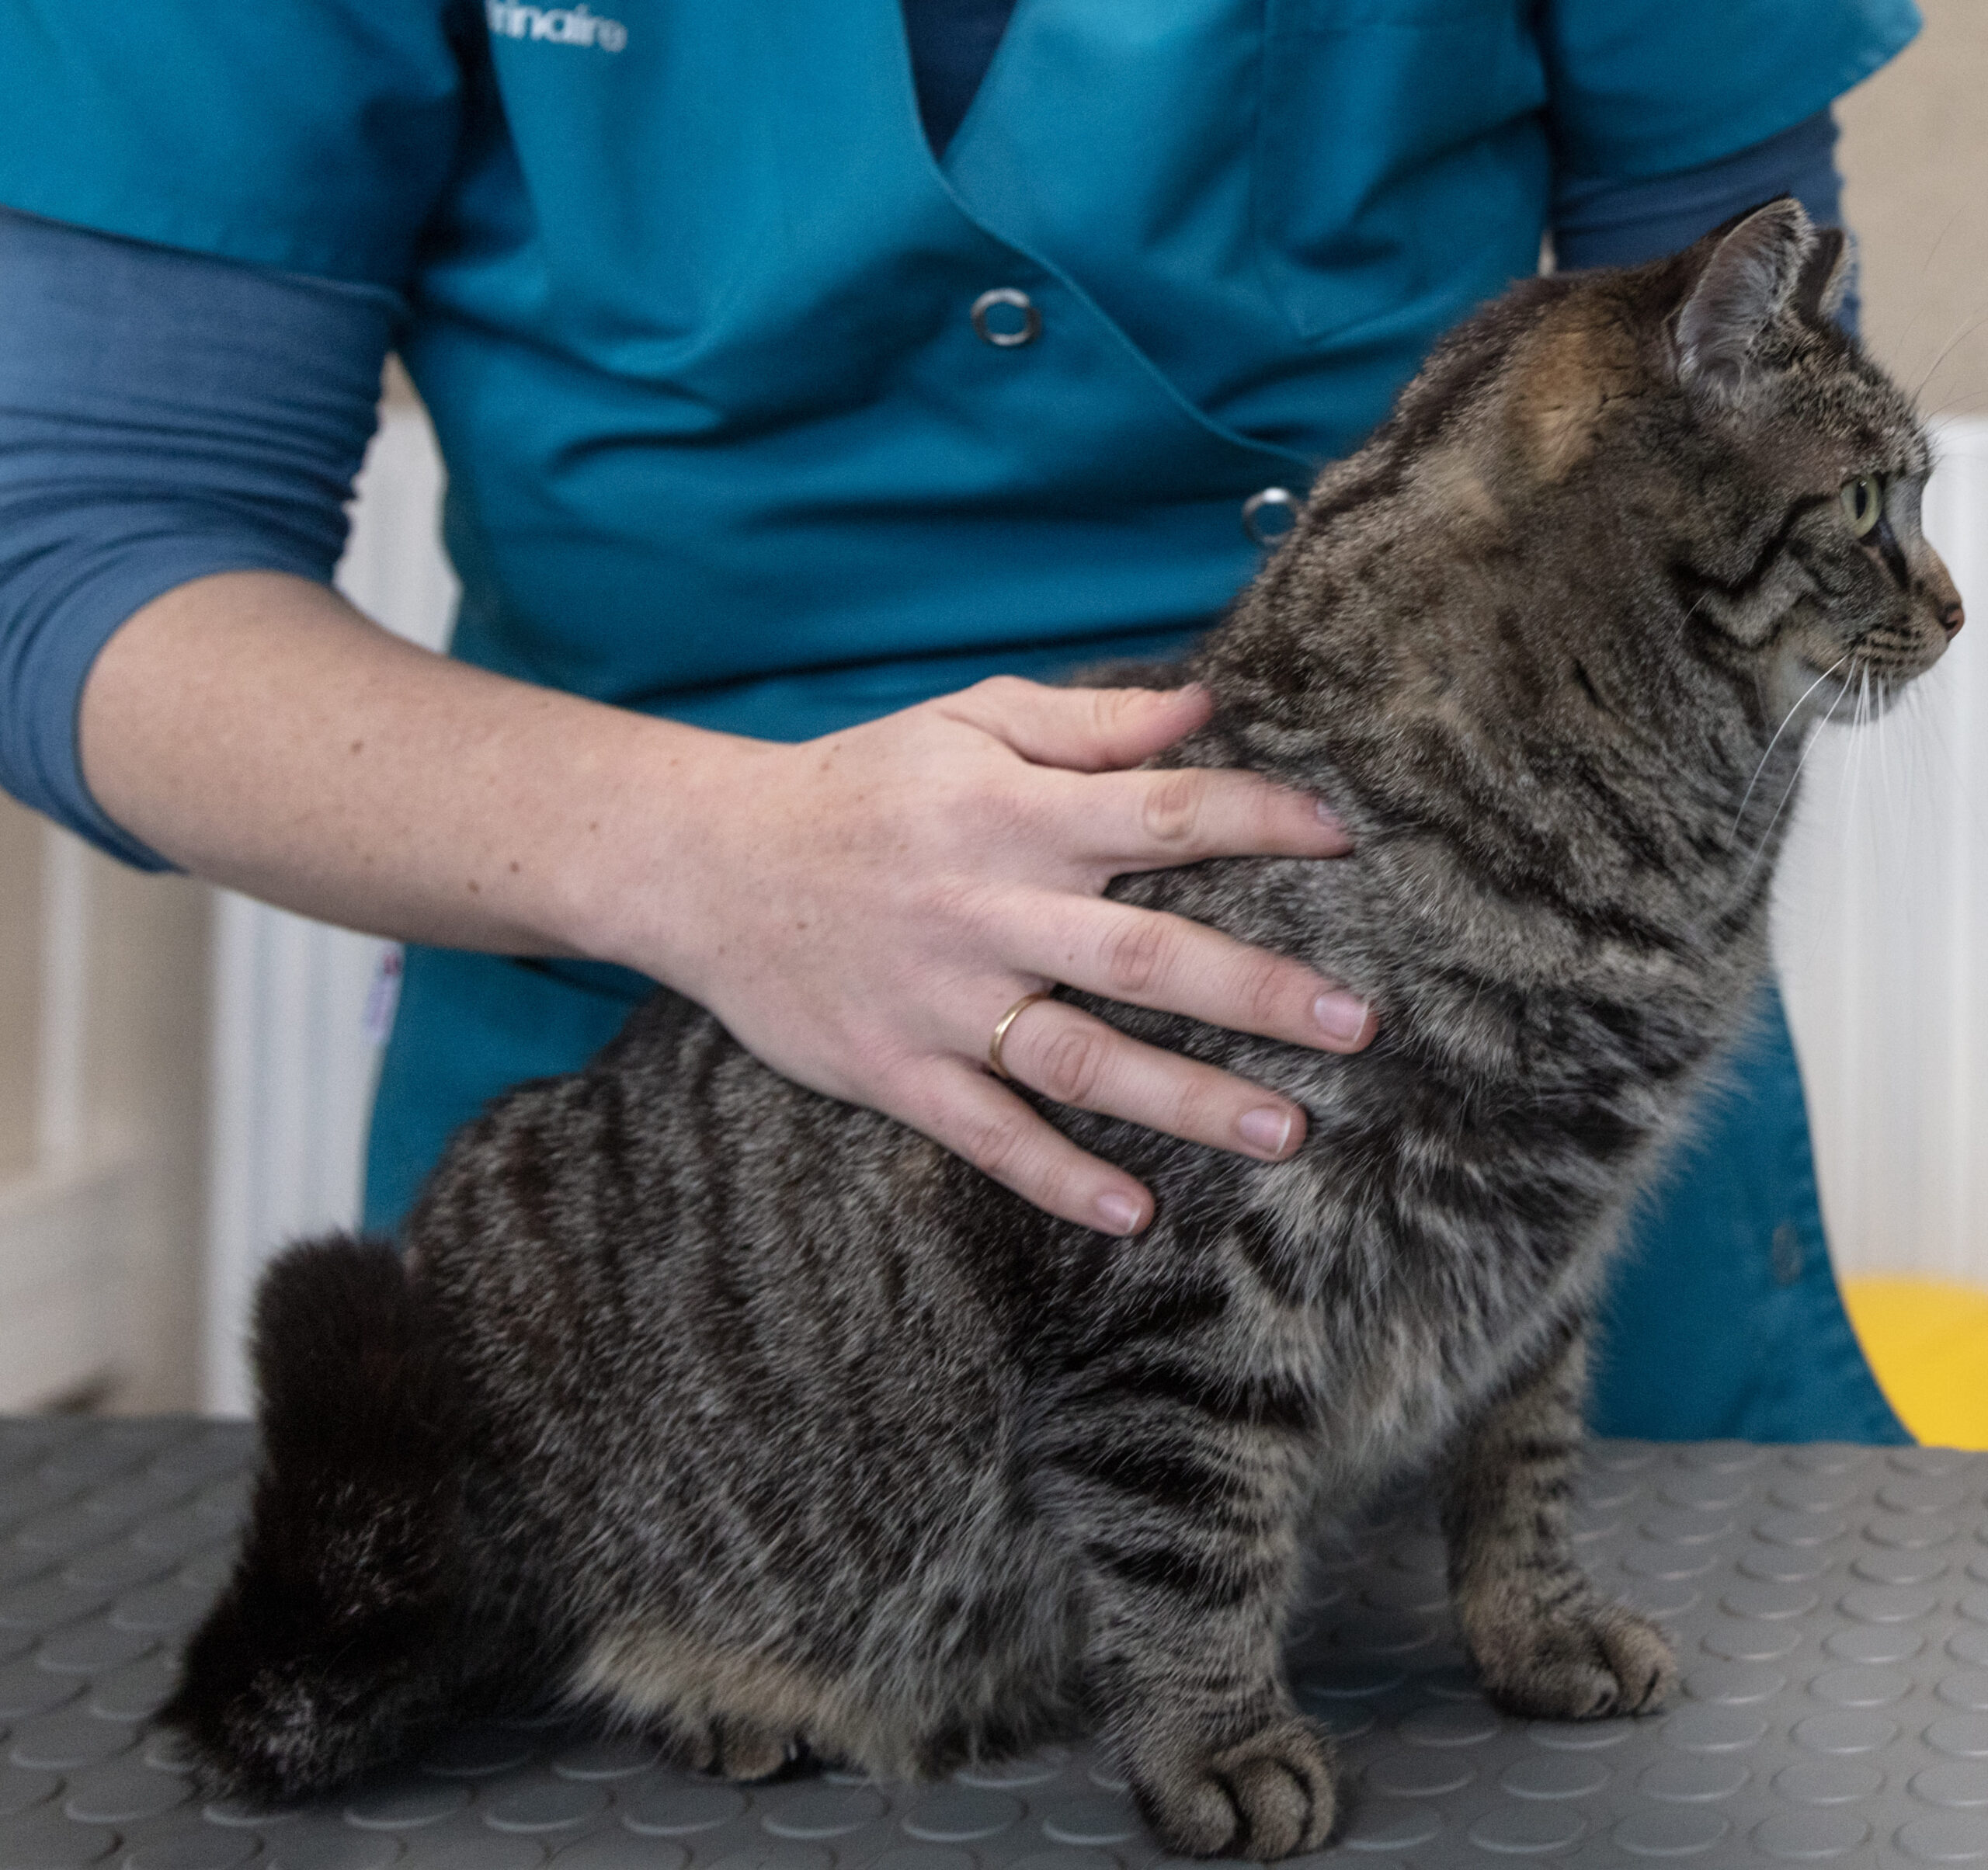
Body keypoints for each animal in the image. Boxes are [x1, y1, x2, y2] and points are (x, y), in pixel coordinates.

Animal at [158, 204, 1956, 1851]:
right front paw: (1221, 1749)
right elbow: (1191, 1541)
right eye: (1875, 502)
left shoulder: (1540, 1257)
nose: (1951, 606)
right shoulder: (1185, 1286)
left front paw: (1537, 1632)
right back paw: (731, 1692)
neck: (1649, 855)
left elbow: (1523, 1468)